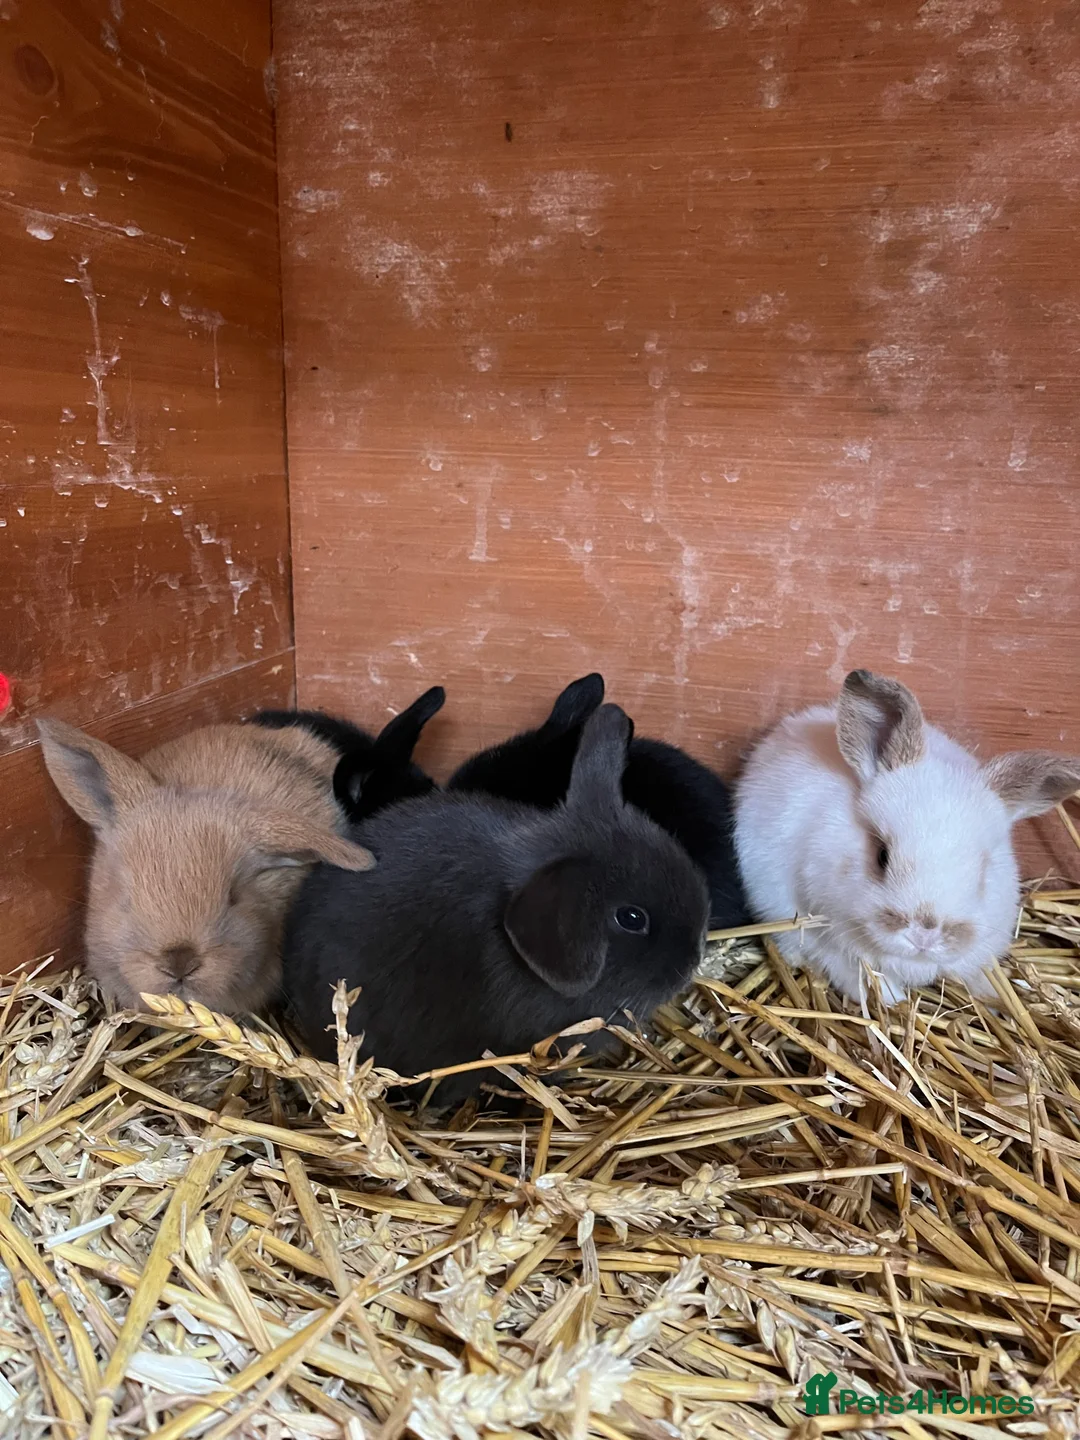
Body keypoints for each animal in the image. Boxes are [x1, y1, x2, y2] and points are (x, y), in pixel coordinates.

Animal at [733, 668, 1080, 1006]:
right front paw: (893, 1000)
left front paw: (994, 998)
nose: (925, 935)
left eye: (983, 874)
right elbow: (853, 974)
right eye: (881, 856)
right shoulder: (826, 938)